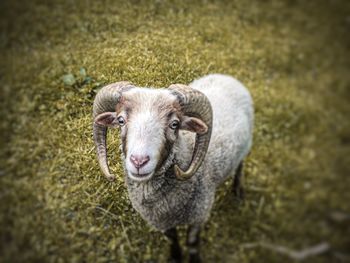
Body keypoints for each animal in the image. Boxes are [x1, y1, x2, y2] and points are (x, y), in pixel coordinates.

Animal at [91, 73, 253, 262]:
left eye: (174, 124)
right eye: (120, 120)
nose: (139, 161)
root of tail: (225, 76)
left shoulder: (199, 214)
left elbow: (192, 243)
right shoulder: (163, 221)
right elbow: (172, 239)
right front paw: (175, 256)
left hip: (246, 146)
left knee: (240, 166)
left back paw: (238, 190)